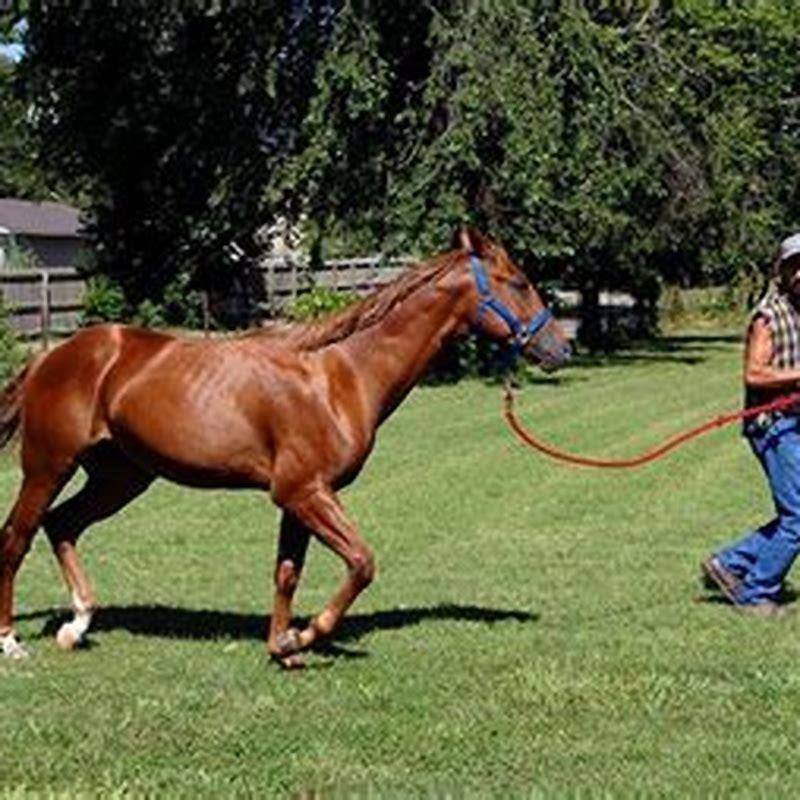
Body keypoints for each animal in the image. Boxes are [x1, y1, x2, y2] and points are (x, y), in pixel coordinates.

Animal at [0, 228, 568, 664]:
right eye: (518, 282)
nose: (559, 347)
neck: (339, 377)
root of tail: (48, 358)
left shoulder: (300, 498)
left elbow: (287, 573)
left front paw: (281, 646)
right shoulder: (303, 491)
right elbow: (361, 562)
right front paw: (302, 636)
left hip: (121, 476)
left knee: (63, 525)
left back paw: (76, 626)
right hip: (48, 466)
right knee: (17, 537)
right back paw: (11, 642)